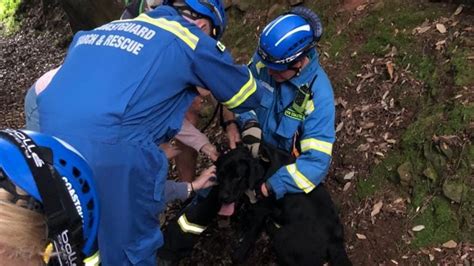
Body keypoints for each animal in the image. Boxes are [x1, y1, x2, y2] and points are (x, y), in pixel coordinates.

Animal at [216, 143, 352, 266]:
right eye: (220, 175)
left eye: (237, 177)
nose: (222, 197)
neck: (261, 164)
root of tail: (335, 241)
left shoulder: (261, 209)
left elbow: (250, 232)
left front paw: (239, 254)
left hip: (282, 237)